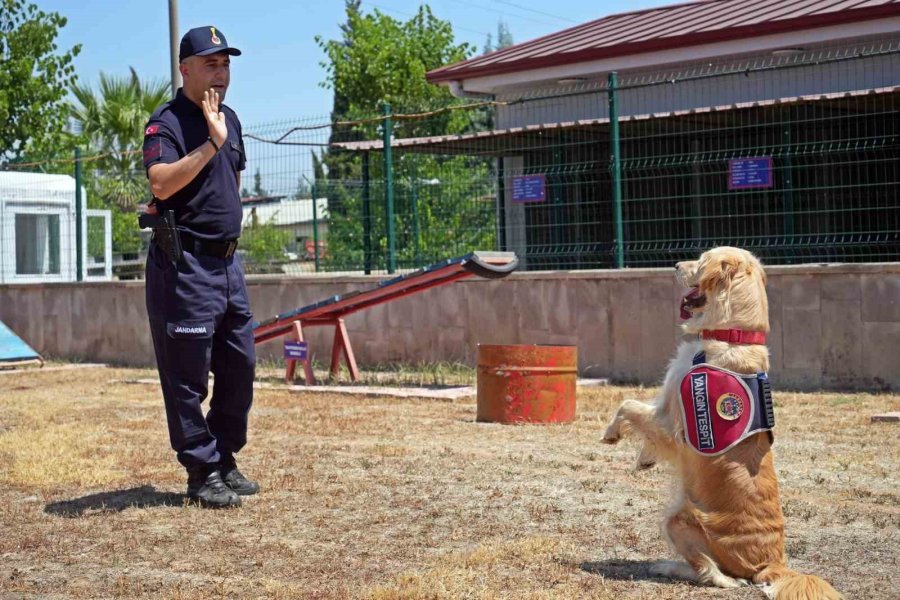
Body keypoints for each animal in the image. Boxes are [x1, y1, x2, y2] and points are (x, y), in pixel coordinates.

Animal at [600, 246, 840, 596]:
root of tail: (774, 565)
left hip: (678, 519)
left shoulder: (672, 419)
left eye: (700, 262)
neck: (733, 334)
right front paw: (645, 458)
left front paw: (611, 433)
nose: (674, 265)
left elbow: (628, 405)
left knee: (716, 574)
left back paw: (681, 569)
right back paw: (668, 565)